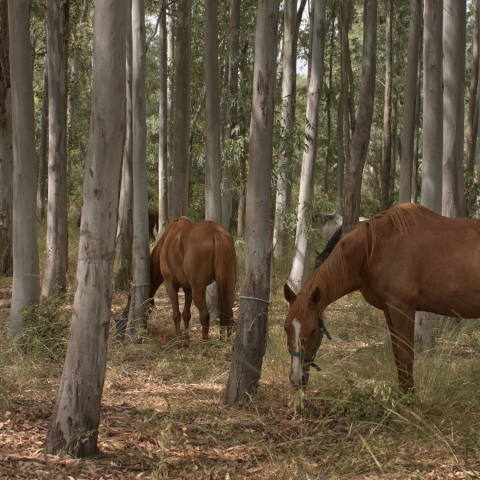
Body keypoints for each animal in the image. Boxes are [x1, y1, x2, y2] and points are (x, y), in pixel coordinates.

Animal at [284, 204, 480, 392]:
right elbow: (398, 357)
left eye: (313, 330)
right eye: (286, 329)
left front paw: (409, 400)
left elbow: (405, 356)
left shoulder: (403, 308)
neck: (376, 248)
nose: (296, 379)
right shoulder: (389, 310)